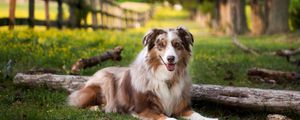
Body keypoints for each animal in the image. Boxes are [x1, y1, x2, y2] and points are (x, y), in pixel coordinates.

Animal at [68, 26, 218, 120]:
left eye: (177, 44)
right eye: (161, 45)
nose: (171, 58)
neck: (166, 78)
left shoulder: (182, 108)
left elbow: (198, 115)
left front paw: (210, 118)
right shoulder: (143, 109)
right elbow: (168, 118)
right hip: (103, 83)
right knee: (76, 102)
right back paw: (97, 108)